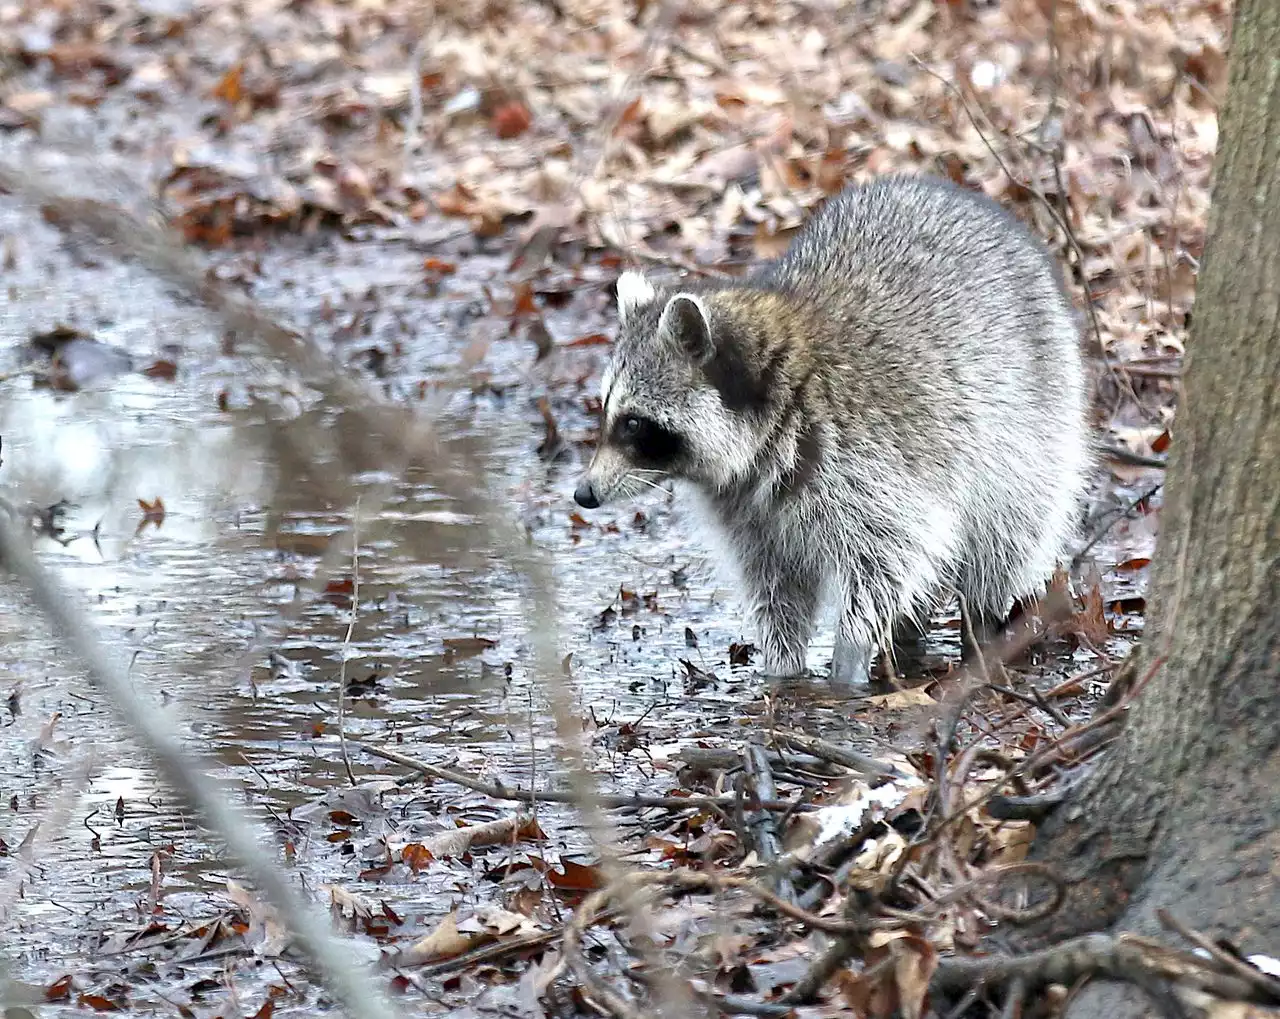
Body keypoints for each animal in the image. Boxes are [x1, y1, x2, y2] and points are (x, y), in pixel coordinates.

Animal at [578, 175, 1090, 686]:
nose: (584, 493)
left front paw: (848, 659)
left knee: (1007, 535)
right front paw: (783, 671)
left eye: (634, 423)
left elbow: (890, 556)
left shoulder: (864, 460)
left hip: (1032, 426)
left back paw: (980, 626)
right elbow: (777, 588)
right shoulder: (748, 512)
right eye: (605, 411)